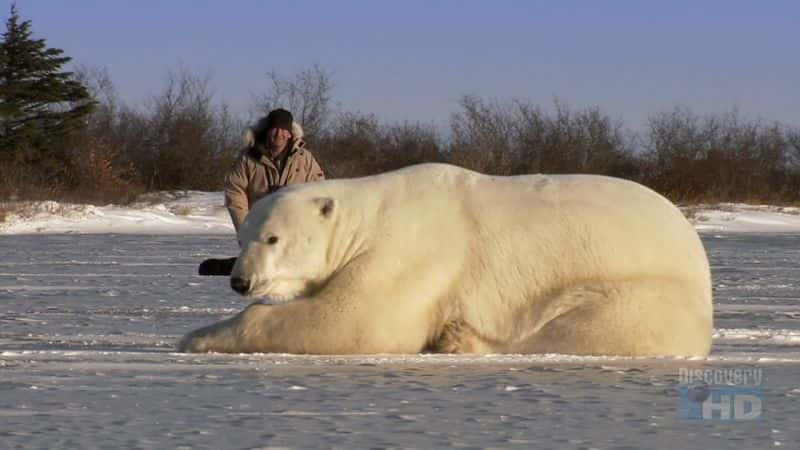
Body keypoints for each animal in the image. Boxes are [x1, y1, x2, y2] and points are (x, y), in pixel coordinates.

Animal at [180, 163, 712, 356]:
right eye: (244, 237)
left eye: (273, 238)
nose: (241, 282)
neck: (369, 217)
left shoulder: (410, 253)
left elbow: (359, 322)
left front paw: (195, 336)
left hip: (640, 288)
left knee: (576, 326)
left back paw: (461, 339)